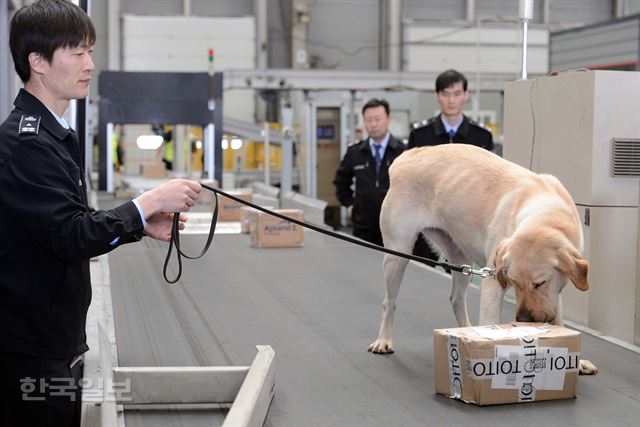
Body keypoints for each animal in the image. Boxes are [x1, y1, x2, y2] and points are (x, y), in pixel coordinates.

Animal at [368, 144, 596, 374]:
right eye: (514, 283)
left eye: (540, 283)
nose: (523, 320)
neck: (546, 214)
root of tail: (409, 155)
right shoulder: (492, 282)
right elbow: (490, 320)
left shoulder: (554, 292)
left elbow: (559, 320)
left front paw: (576, 361)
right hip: (397, 254)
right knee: (389, 301)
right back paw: (384, 339)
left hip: (461, 260)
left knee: (456, 298)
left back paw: (467, 334)